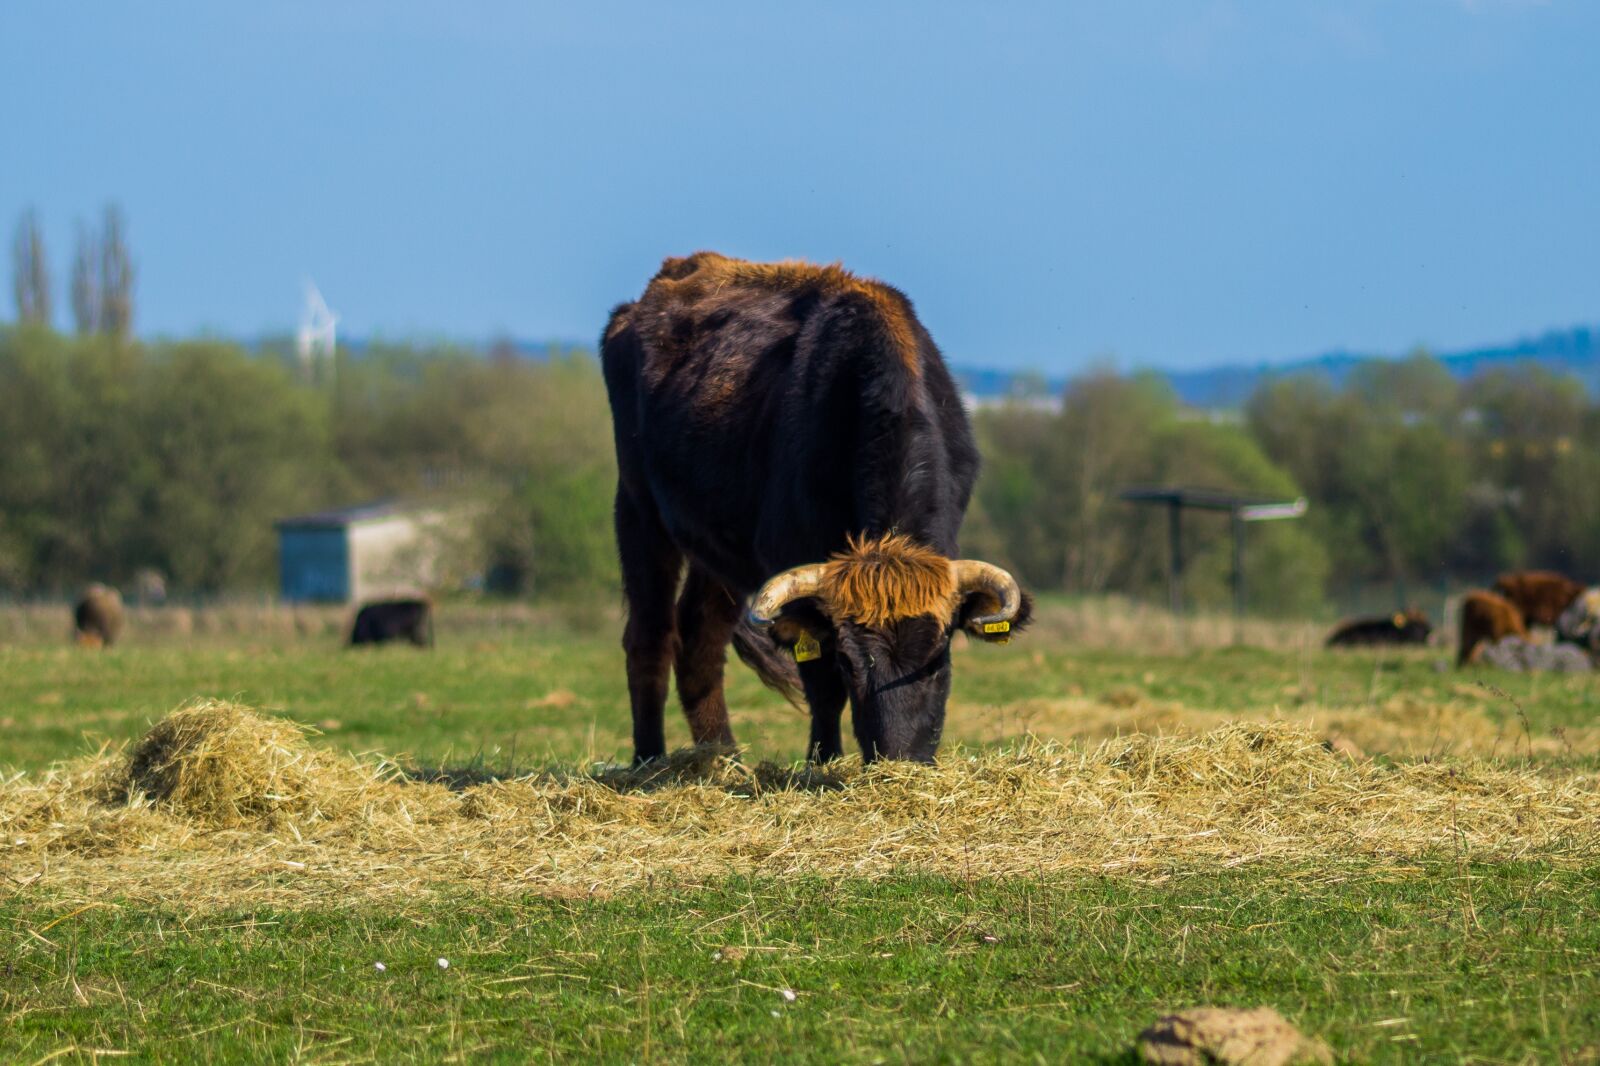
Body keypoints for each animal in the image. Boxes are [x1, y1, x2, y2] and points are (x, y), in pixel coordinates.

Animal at [601, 252, 1031, 765]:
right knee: (650, 636)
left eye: (939, 656)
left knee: (699, 639)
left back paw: (723, 758)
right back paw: (649, 761)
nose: (901, 758)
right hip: (638, 508)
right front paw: (822, 761)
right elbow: (823, 687)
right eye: (850, 661)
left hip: (716, 547)